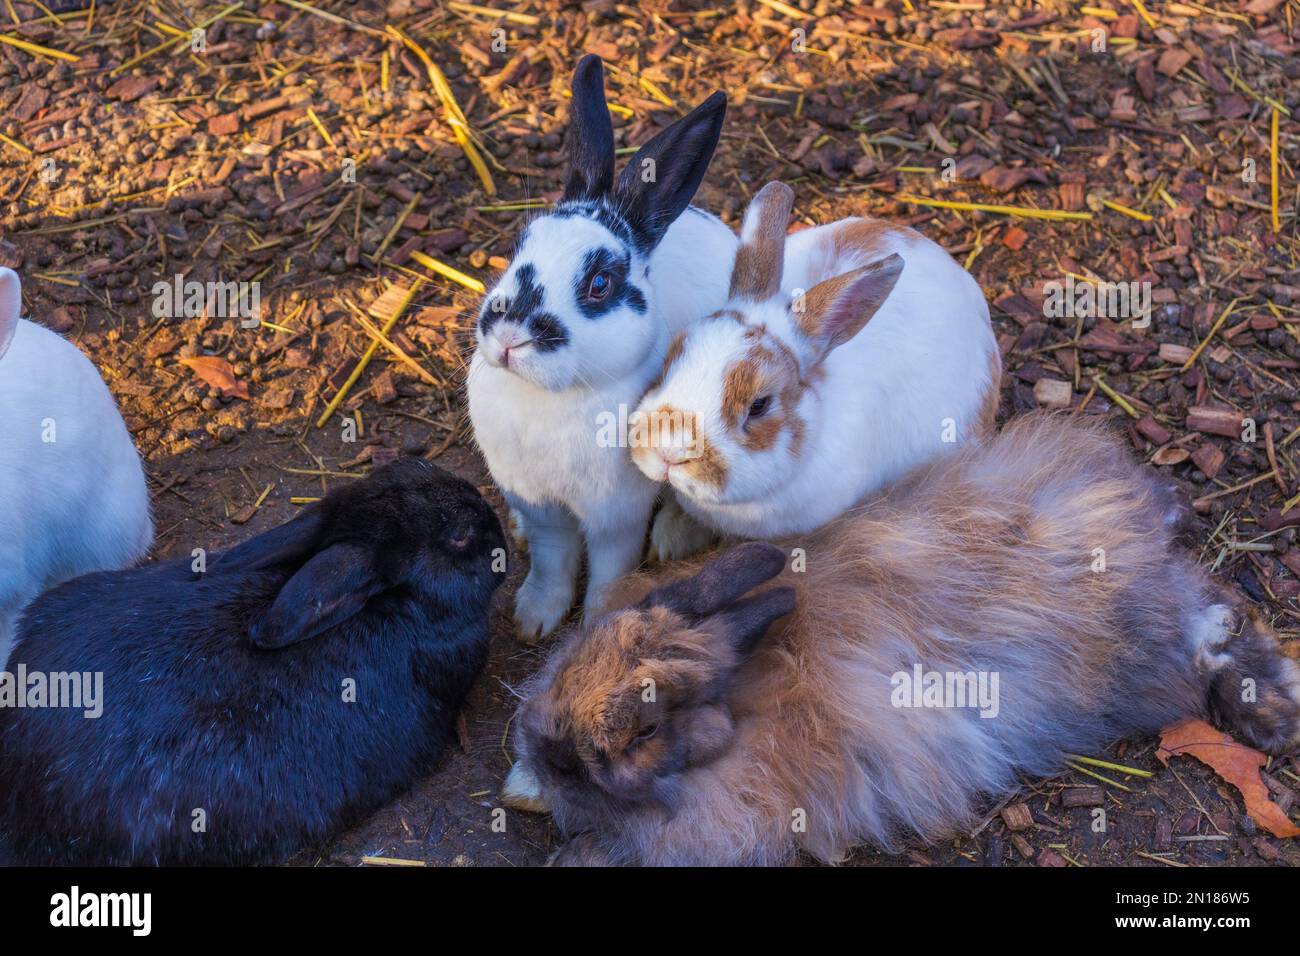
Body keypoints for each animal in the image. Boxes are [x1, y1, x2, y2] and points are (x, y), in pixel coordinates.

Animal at [467, 54, 738, 642]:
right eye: (519, 245)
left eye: (599, 284)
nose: (508, 337)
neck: (552, 400)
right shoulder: (542, 507)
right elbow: (551, 560)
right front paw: (535, 620)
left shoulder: (617, 515)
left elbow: (611, 569)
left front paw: (596, 623)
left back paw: (672, 538)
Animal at [504, 413, 1300, 868]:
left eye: (636, 736)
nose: (544, 752)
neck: (737, 706)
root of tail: (1139, 511)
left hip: (1138, 645)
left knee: (1213, 627)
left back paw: (1273, 714)